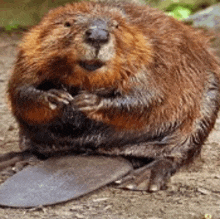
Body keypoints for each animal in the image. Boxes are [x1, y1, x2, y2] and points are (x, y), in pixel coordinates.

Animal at [0, 0, 219, 192]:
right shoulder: (29, 52)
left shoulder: (155, 55)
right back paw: (12, 161)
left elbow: (148, 97)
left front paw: (88, 101)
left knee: (177, 153)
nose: (98, 35)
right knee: (35, 150)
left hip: (207, 102)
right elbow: (20, 90)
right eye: (67, 23)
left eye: (116, 26)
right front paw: (56, 97)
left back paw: (142, 177)